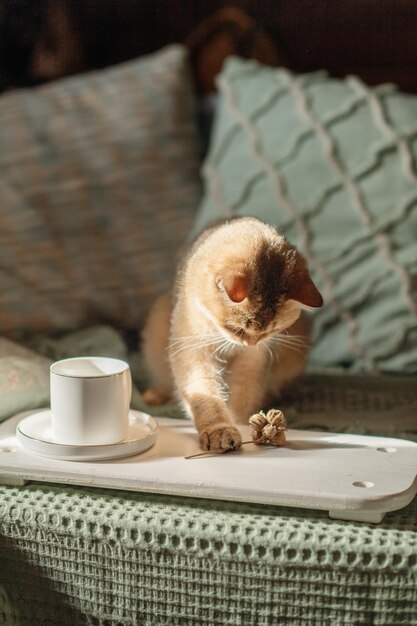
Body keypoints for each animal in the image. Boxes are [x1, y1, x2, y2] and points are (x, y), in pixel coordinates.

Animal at [141, 217, 324, 450]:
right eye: (237, 328)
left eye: (271, 330)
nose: (251, 343)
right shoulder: (193, 352)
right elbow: (206, 396)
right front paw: (220, 431)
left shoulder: (252, 360)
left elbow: (244, 395)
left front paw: (245, 424)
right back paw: (156, 394)